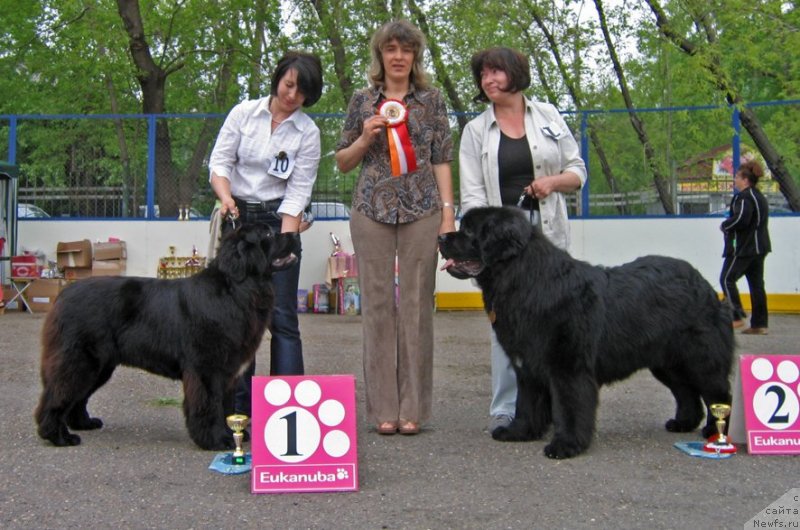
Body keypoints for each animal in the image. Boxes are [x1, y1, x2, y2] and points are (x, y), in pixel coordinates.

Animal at [32, 223, 298, 450]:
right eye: (268, 234)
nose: (294, 233)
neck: (236, 288)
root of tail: (64, 295)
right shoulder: (207, 369)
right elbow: (209, 405)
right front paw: (217, 440)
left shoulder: (227, 371)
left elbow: (224, 405)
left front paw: (230, 434)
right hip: (81, 360)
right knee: (59, 393)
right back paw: (58, 436)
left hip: (100, 366)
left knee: (77, 397)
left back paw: (84, 423)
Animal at [440, 206, 736, 458]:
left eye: (469, 231)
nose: (442, 236)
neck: (525, 281)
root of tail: (704, 284)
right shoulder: (528, 366)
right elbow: (526, 403)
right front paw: (519, 432)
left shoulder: (568, 367)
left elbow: (570, 406)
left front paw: (566, 445)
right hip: (666, 362)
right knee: (686, 392)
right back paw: (683, 422)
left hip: (699, 358)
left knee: (717, 393)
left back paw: (714, 432)